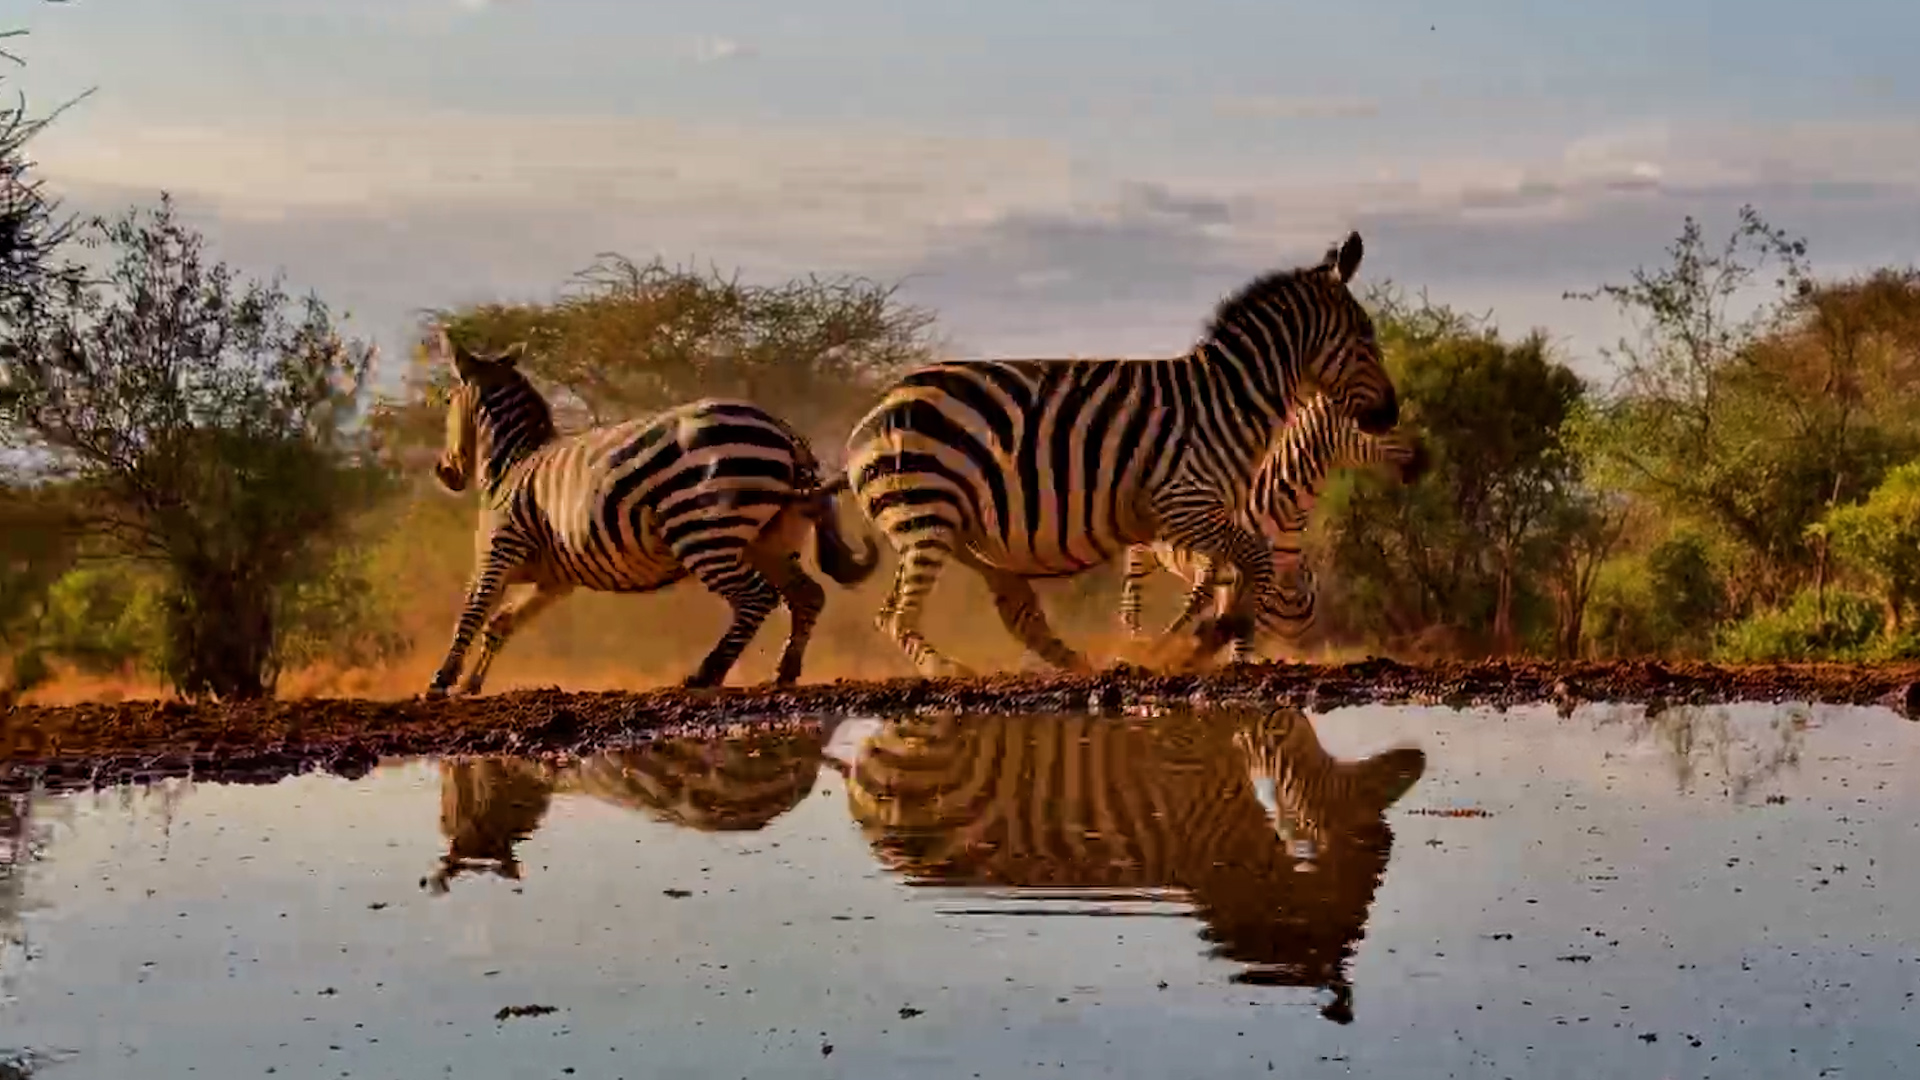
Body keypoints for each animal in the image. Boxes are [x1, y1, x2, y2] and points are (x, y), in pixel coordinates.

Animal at [424, 329, 880, 695]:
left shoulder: (497, 553)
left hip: (703, 533)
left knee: (756, 597)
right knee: (807, 595)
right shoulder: (554, 580)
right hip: (771, 538)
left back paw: (705, 675)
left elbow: (471, 613)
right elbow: (501, 623)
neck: (514, 461)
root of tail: (785, 432)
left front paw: (441, 682)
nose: (445, 473)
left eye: (446, 400)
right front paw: (471, 684)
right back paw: (784, 672)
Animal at [842, 232, 1397, 678]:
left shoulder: (1204, 516)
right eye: (1366, 338)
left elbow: (1231, 574)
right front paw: (1213, 637)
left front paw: (1200, 637)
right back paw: (949, 669)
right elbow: (1252, 562)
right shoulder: (1185, 505)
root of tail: (870, 417)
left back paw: (1080, 661)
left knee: (1007, 609)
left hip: (958, 532)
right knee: (895, 616)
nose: (1392, 414)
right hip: (927, 514)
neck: (1227, 401)